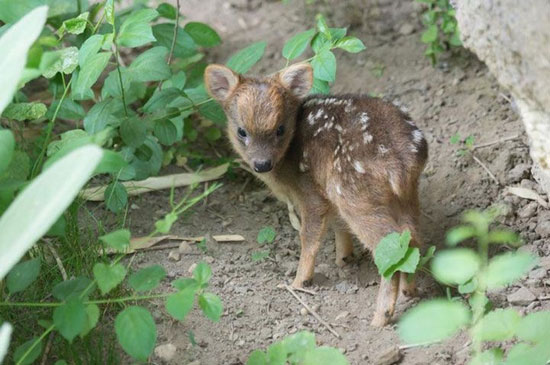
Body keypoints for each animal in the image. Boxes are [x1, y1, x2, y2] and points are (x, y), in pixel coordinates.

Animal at [205, 62, 430, 328]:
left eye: (280, 129)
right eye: (241, 131)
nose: (262, 164)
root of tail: (403, 162)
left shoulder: (311, 193)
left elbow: (308, 236)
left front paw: (299, 282)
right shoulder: (328, 196)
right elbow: (339, 226)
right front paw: (344, 258)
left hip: (353, 194)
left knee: (390, 245)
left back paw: (380, 317)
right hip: (405, 194)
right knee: (413, 238)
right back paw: (409, 292)